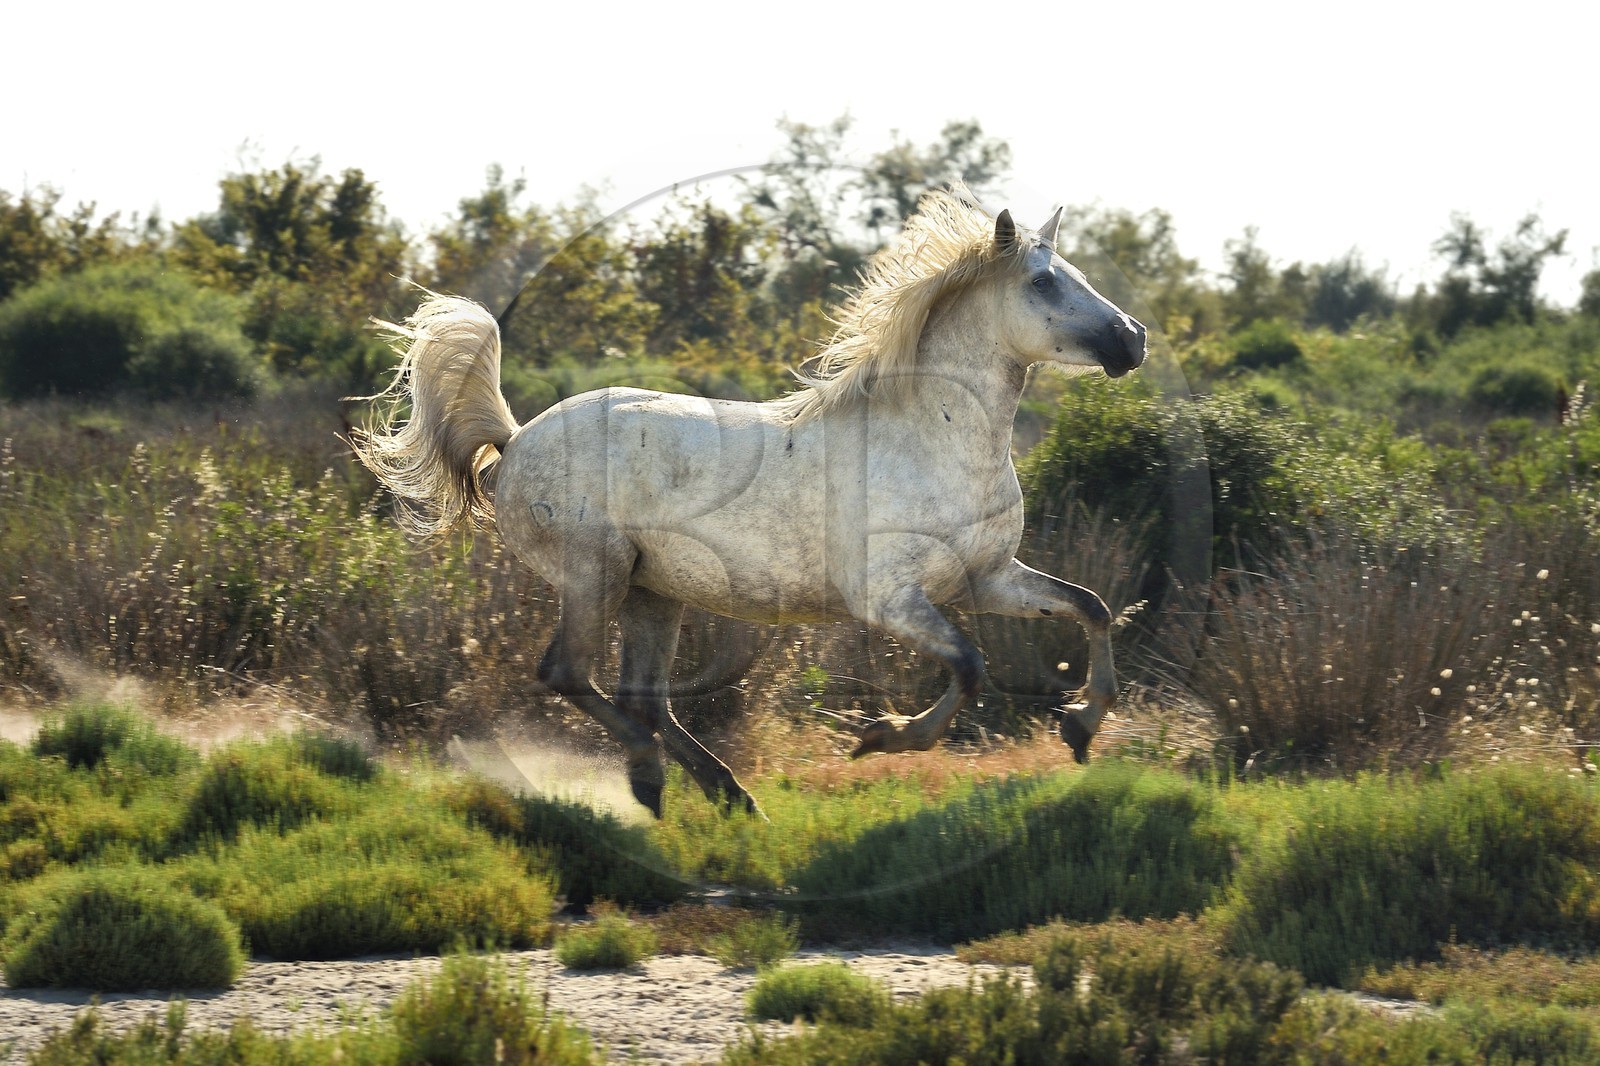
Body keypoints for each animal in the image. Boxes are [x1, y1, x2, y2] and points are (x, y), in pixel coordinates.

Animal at [350, 187, 1146, 817]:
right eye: (1044, 282)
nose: (1132, 340)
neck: (931, 435)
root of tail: (516, 440)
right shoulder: (892, 599)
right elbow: (971, 666)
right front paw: (882, 738)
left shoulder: (987, 580)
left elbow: (1090, 608)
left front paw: (1081, 726)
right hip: (593, 574)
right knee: (570, 676)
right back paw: (653, 777)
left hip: (652, 592)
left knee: (644, 697)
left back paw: (725, 796)